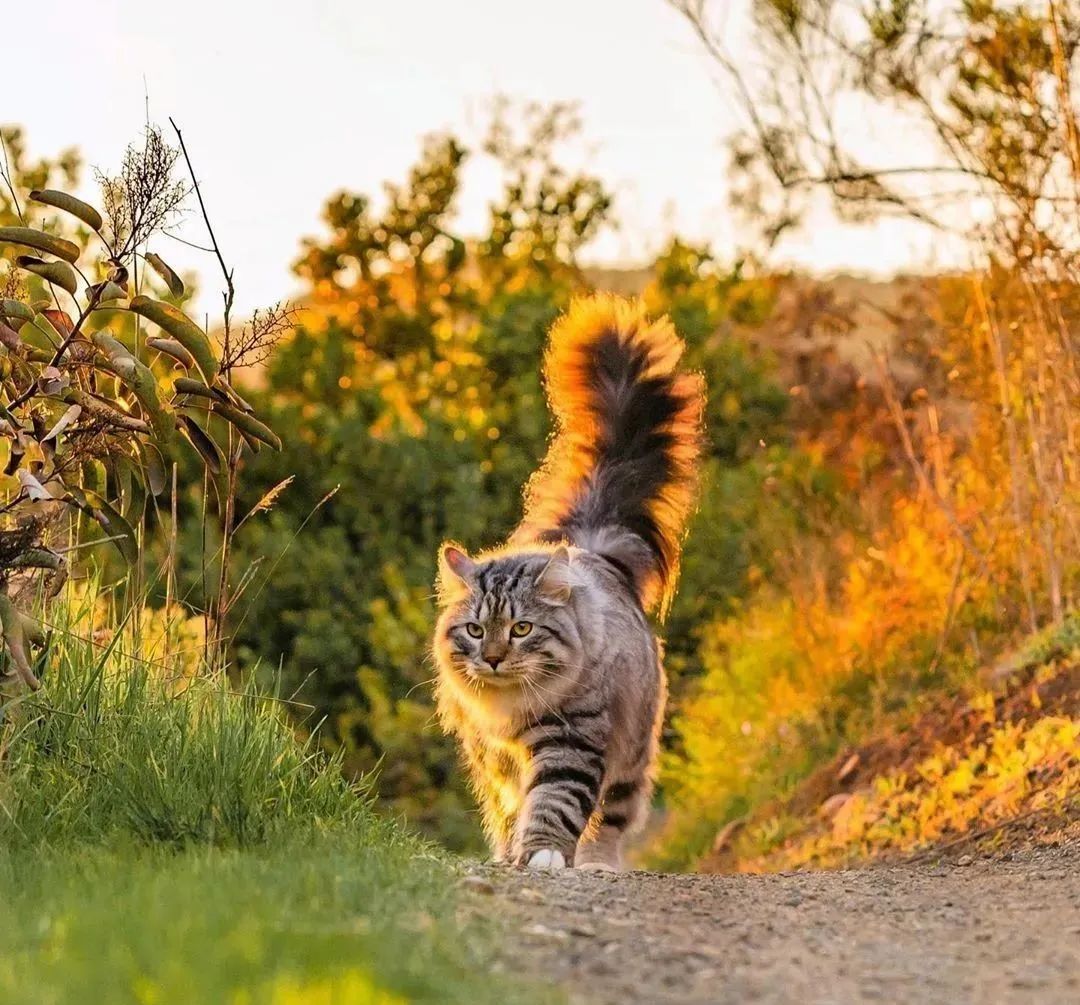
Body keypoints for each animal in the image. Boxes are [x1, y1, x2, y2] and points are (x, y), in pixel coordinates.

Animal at [434, 293, 704, 872]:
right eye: (475, 631)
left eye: (521, 630)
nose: (493, 659)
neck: (509, 710)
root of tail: (593, 547)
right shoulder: (492, 757)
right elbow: (511, 810)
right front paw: (511, 855)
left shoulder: (571, 738)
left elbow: (555, 802)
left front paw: (542, 856)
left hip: (633, 749)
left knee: (615, 815)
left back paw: (600, 862)